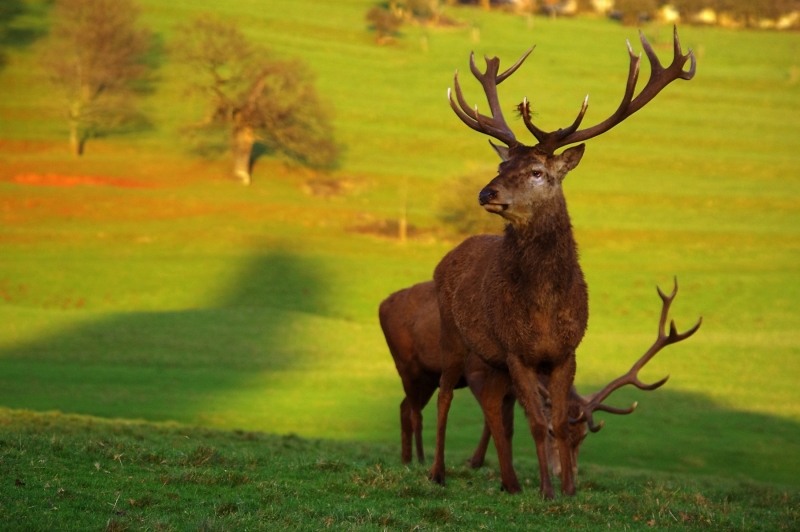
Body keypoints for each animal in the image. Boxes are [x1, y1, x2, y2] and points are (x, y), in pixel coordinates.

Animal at [380, 278, 700, 481]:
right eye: (550, 432)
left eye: (582, 437)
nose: (566, 472)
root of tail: (382, 304)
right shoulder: (476, 371)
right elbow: (491, 417)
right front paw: (476, 462)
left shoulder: (511, 387)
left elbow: (506, 425)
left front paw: (495, 464)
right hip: (406, 364)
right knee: (414, 411)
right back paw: (419, 460)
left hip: (426, 377)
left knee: (403, 407)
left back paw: (408, 459)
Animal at [429, 28, 696, 499]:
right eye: (502, 163)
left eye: (537, 171)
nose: (486, 193)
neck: (544, 310)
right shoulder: (516, 350)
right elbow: (538, 424)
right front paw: (546, 491)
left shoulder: (565, 352)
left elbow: (550, 416)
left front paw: (568, 490)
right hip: (452, 333)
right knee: (445, 396)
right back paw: (438, 472)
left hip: (489, 357)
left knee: (493, 408)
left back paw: (509, 481)